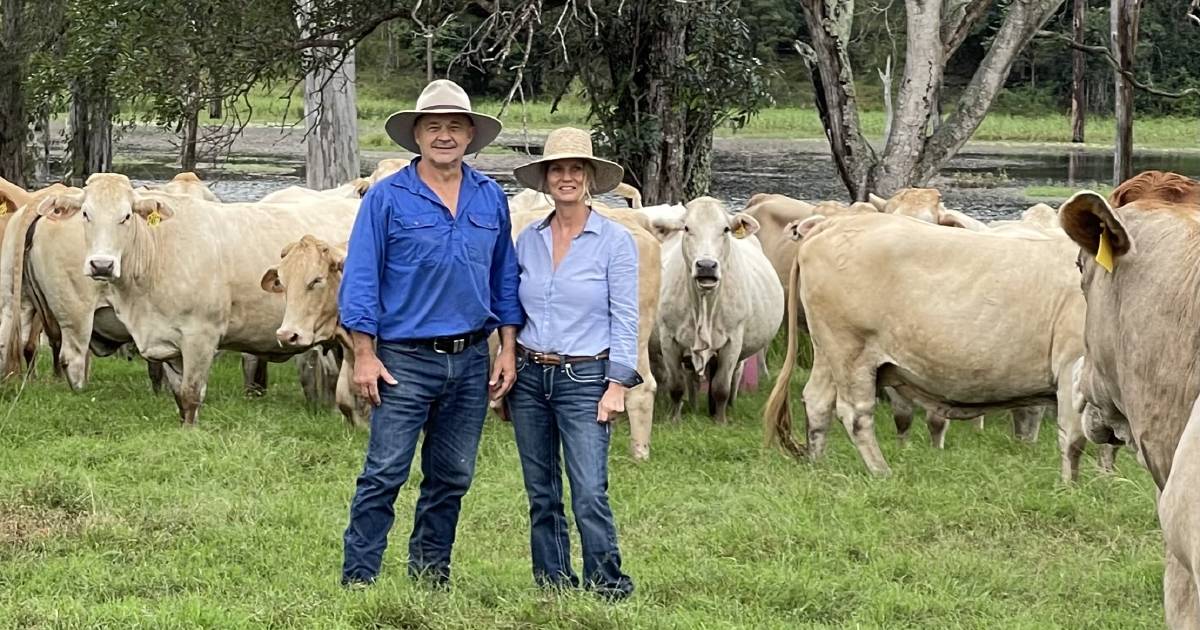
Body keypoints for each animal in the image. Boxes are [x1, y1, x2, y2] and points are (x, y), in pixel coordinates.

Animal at [652, 196, 782, 422]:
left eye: (726, 229)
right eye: (687, 228)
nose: (706, 265)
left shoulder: (733, 341)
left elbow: (721, 386)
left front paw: (720, 421)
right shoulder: (668, 339)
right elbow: (676, 386)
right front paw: (674, 419)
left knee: (734, 377)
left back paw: (728, 406)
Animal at [768, 210, 1104, 482]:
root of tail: (833, 223)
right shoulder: (1073, 364)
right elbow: (1074, 438)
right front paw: (1072, 488)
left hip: (828, 351)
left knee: (817, 400)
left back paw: (818, 464)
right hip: (851, 349)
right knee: (855, 413)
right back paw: (881, 472)